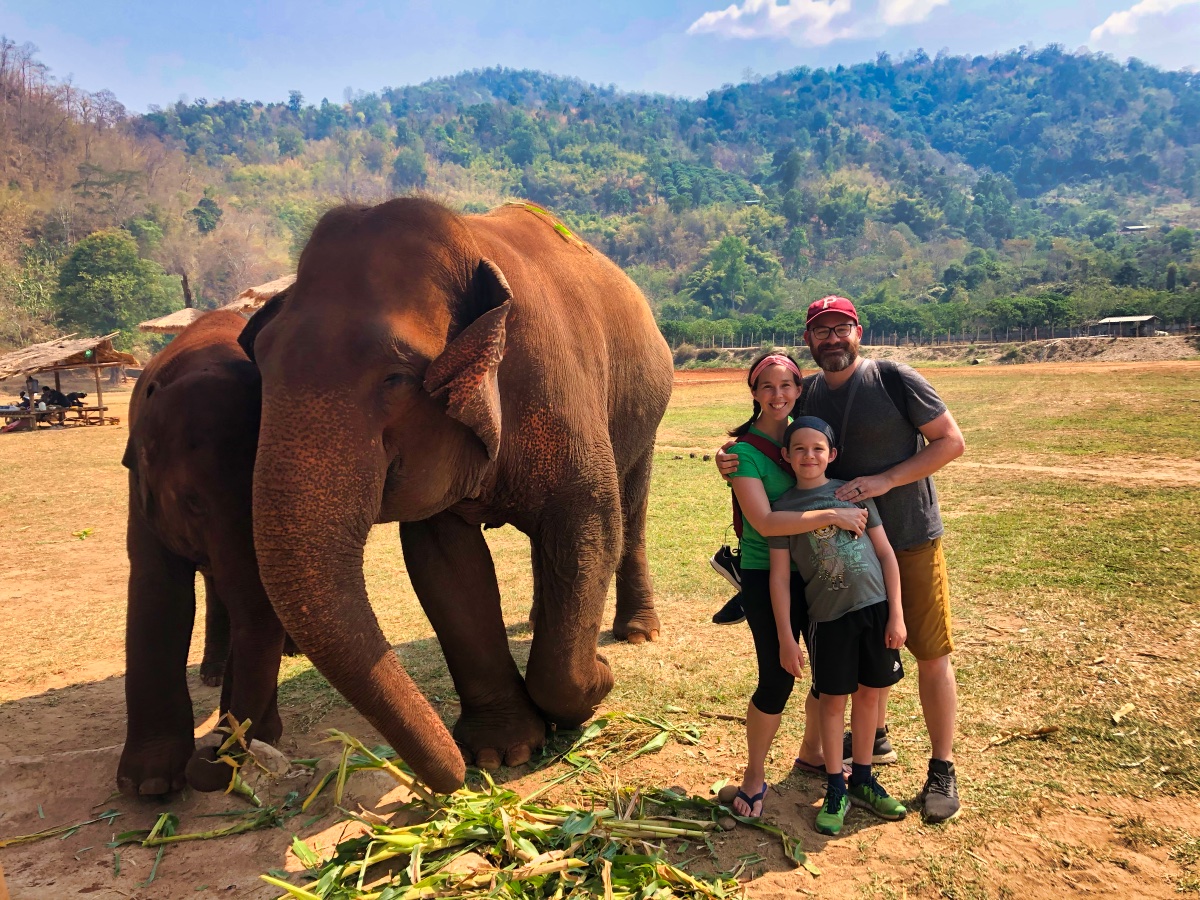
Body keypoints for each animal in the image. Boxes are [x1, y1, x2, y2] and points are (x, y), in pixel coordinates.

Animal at [117, 309, 290, 797]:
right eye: (193, 502)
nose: (212, 754)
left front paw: (260, 735)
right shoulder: (140, 493)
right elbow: (159, 593)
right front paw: (149, 784)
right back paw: (211, 674)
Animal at [240, 198, 674, 793]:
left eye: (397, 378)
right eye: (261, 365)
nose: (448, 782)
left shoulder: (564, 389)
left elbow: (590, 524)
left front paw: (594, 687)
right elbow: (445, 565)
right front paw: (500, 752)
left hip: (646, 409)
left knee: (630, 509)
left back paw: (637, 634)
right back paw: (539, 623)